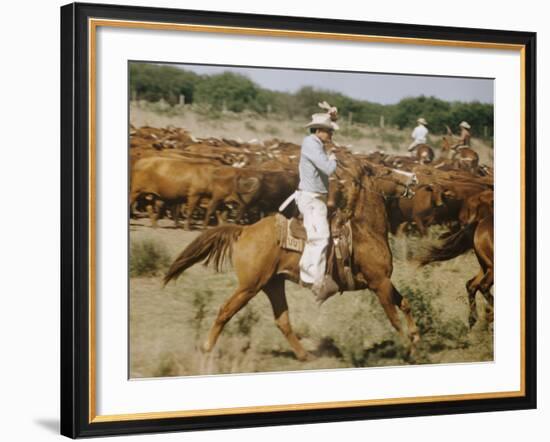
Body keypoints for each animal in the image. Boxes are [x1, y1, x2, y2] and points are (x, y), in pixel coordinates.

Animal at [166, 171, 420, 360]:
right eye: (389, 171)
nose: (414, 178)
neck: (366, 231)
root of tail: (244, 230)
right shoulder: (379, 283)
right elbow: (394, 318)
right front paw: (407, 348)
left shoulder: (384, 281)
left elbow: (405, 303)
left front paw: (416, 337)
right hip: (250, 286)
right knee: (225, 311)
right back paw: (207, 348)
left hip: (273, 284)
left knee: (282, 321)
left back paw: (305, 355)